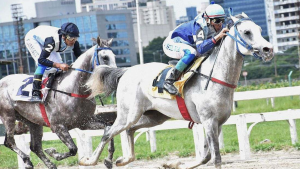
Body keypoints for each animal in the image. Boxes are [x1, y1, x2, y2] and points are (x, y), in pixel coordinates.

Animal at [0, 37, 117, 169]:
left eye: (114, 56)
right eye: (105, 57)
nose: (115, 78)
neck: (74, 89)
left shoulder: (84, 122)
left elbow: (108, 128)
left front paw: (108, 159)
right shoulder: (58, 126)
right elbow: (73, 149)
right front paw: (53, 152)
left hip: (32, 122)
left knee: (35, 146)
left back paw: (50, 165)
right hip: (8, 115)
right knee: (9, 141)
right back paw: (27, 161)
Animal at [81, 12, 274, 168]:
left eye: (259, 29)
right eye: (247, 32)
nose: (268, 49)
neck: (215, 78)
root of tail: (126, 71)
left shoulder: (217, 123)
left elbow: (205, 156)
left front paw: (173, 164)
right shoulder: (209, 121)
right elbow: (216, 158)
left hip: (155, 116)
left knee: (130, 130)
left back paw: (122, 160)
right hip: (128, 114)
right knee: (109, 131)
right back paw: (89, 160)